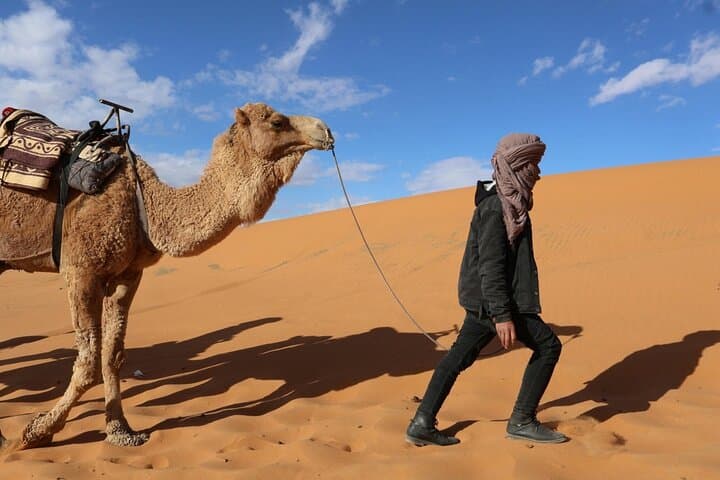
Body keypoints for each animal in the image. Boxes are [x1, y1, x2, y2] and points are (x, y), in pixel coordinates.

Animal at [0, 103, 334, 450]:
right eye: (278, 122)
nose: (325, 130)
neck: (143, 204)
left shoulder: (127, 275)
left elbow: (112, 356)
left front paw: (121, 430)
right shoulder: (81, 269)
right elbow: (88, 362)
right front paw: (35, 432)